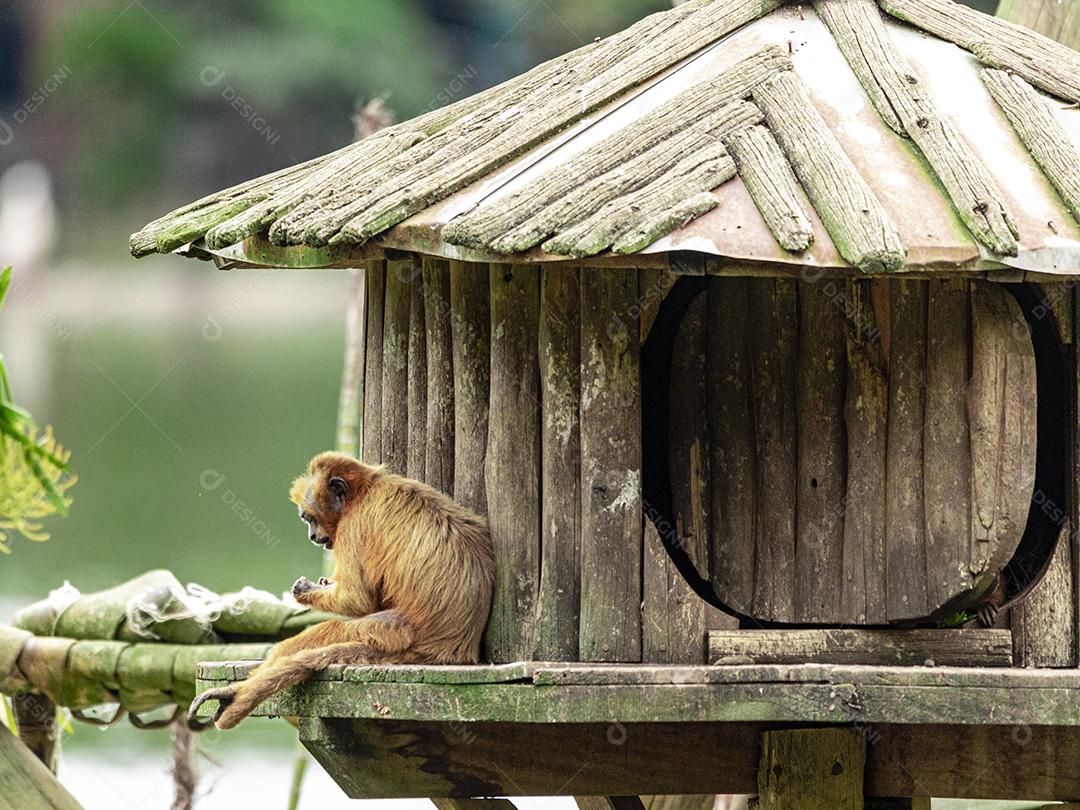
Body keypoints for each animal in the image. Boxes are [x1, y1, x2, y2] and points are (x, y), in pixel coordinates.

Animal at [192, 453, 494, 734]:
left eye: (309, 519)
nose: (313, 536)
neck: (368, 487)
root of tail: (452, 645)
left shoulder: (354, 525)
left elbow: (359, 599)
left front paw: (307, 590)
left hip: (396, 632)